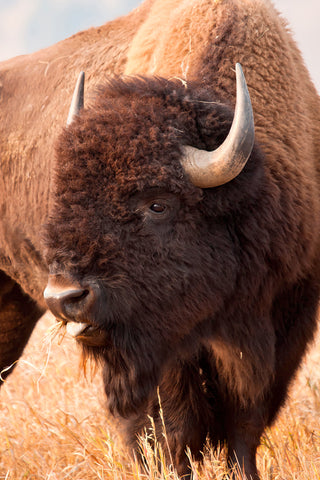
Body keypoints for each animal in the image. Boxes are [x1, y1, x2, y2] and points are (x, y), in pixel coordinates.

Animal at [0, 0, 320, 480]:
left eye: (157, 204)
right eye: (63, 194)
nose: (64, 297)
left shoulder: (286, 320)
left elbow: (245, 423)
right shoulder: (161, 344)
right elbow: (174, 426)